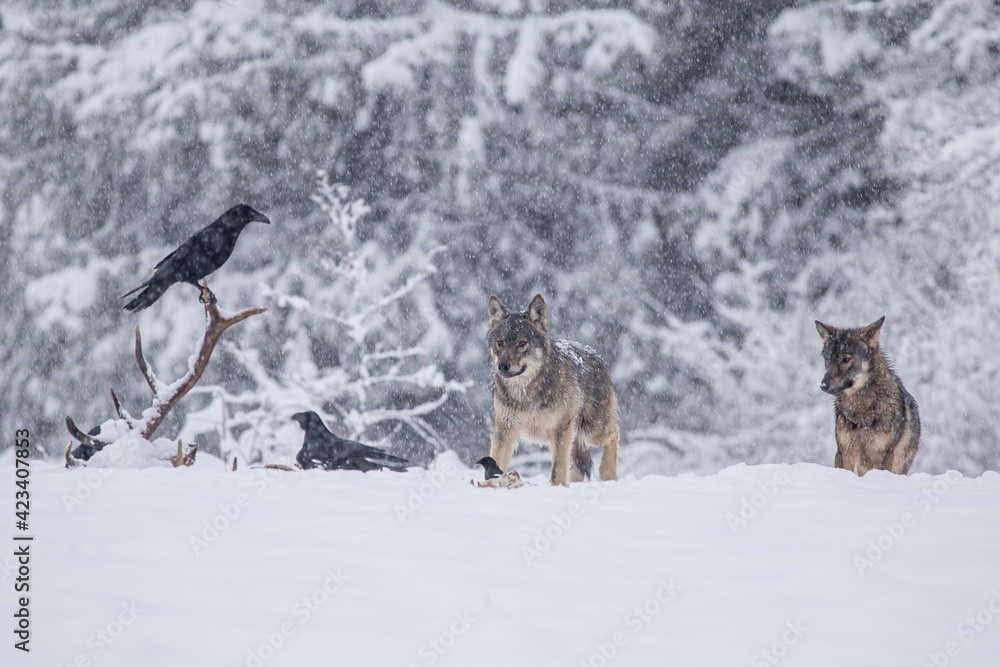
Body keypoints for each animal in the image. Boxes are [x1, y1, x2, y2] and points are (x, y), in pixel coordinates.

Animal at [487, 294, 619, 486]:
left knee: (614, 433)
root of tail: (597, 355)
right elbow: (495, 460)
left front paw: (557, 488)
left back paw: (608, 475)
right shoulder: (504, 430)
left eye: (522, 343)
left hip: (591, 432)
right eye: (500, 342)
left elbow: (557, 469)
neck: (526, 394)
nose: (503, 366)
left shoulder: (561, 429)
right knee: (576, 467)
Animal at [815, 316, 920, 475]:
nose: (823, 385)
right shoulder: (845, 451)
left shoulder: (883, 454)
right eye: (828, 359)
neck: (861, 411)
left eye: (846, 359)